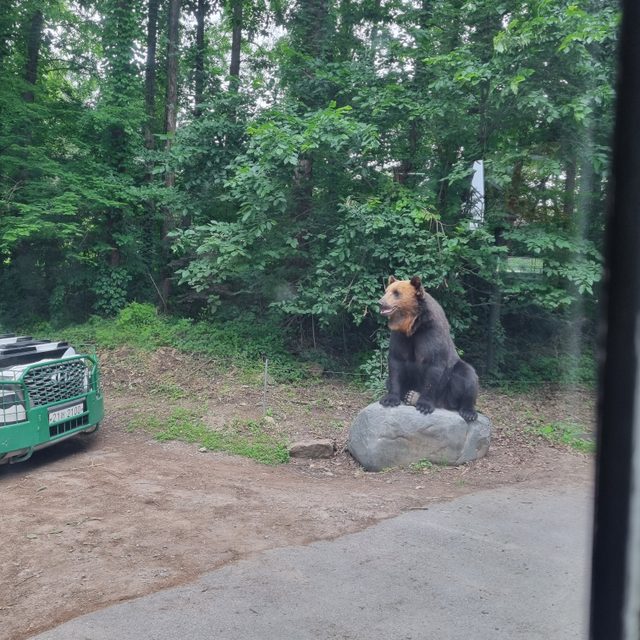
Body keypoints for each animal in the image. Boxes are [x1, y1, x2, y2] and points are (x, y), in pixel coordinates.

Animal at [378, 272, 478, 422]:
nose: (381, 302)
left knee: (467, 375)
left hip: (451, 379)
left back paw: (468, 412)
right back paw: (410, 396)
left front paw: (424, 405)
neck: (413, 325)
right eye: (386, 291)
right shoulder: (400, 336)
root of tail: (442, 403)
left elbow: (433, 366)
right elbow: (396, 363)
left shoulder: (431, 333)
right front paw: (389, 399)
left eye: (396, 293)